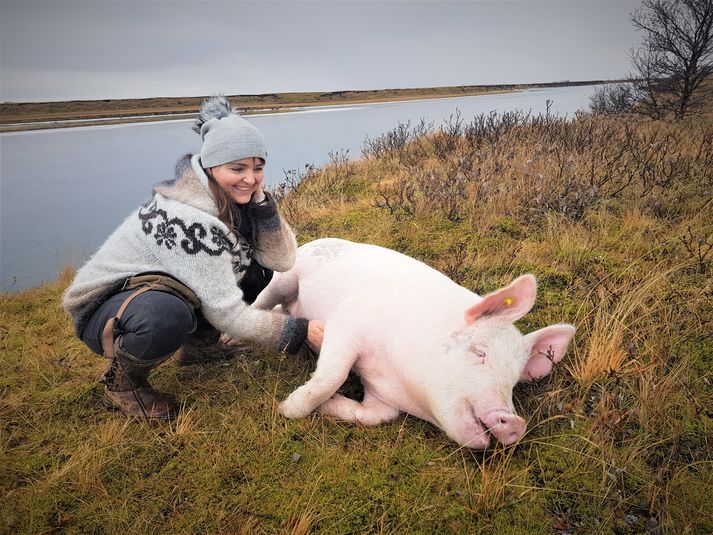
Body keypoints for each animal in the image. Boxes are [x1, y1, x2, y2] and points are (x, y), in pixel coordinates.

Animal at [253, 239, 576, 448]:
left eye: (514, 381)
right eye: (480, 352)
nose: (516, 422)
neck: (398, 378)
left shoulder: (381, 400)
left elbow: (374, 416)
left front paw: (327, 406)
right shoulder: (349, 318)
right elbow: (331, 376)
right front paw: (287, 409)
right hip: (287, 276)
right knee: (262, 301)